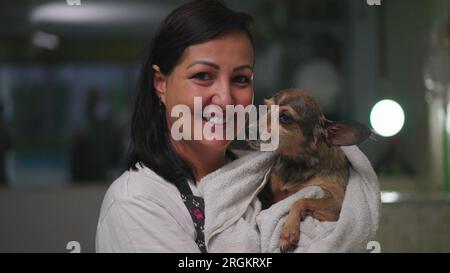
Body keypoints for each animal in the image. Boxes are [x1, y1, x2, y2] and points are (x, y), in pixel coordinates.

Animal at [248, 88, 370, 252]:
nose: (247, 130)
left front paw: (288, 232)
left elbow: (300, 200)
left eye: (285, 118)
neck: (295, 164)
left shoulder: (338, 199)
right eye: (266, 108)